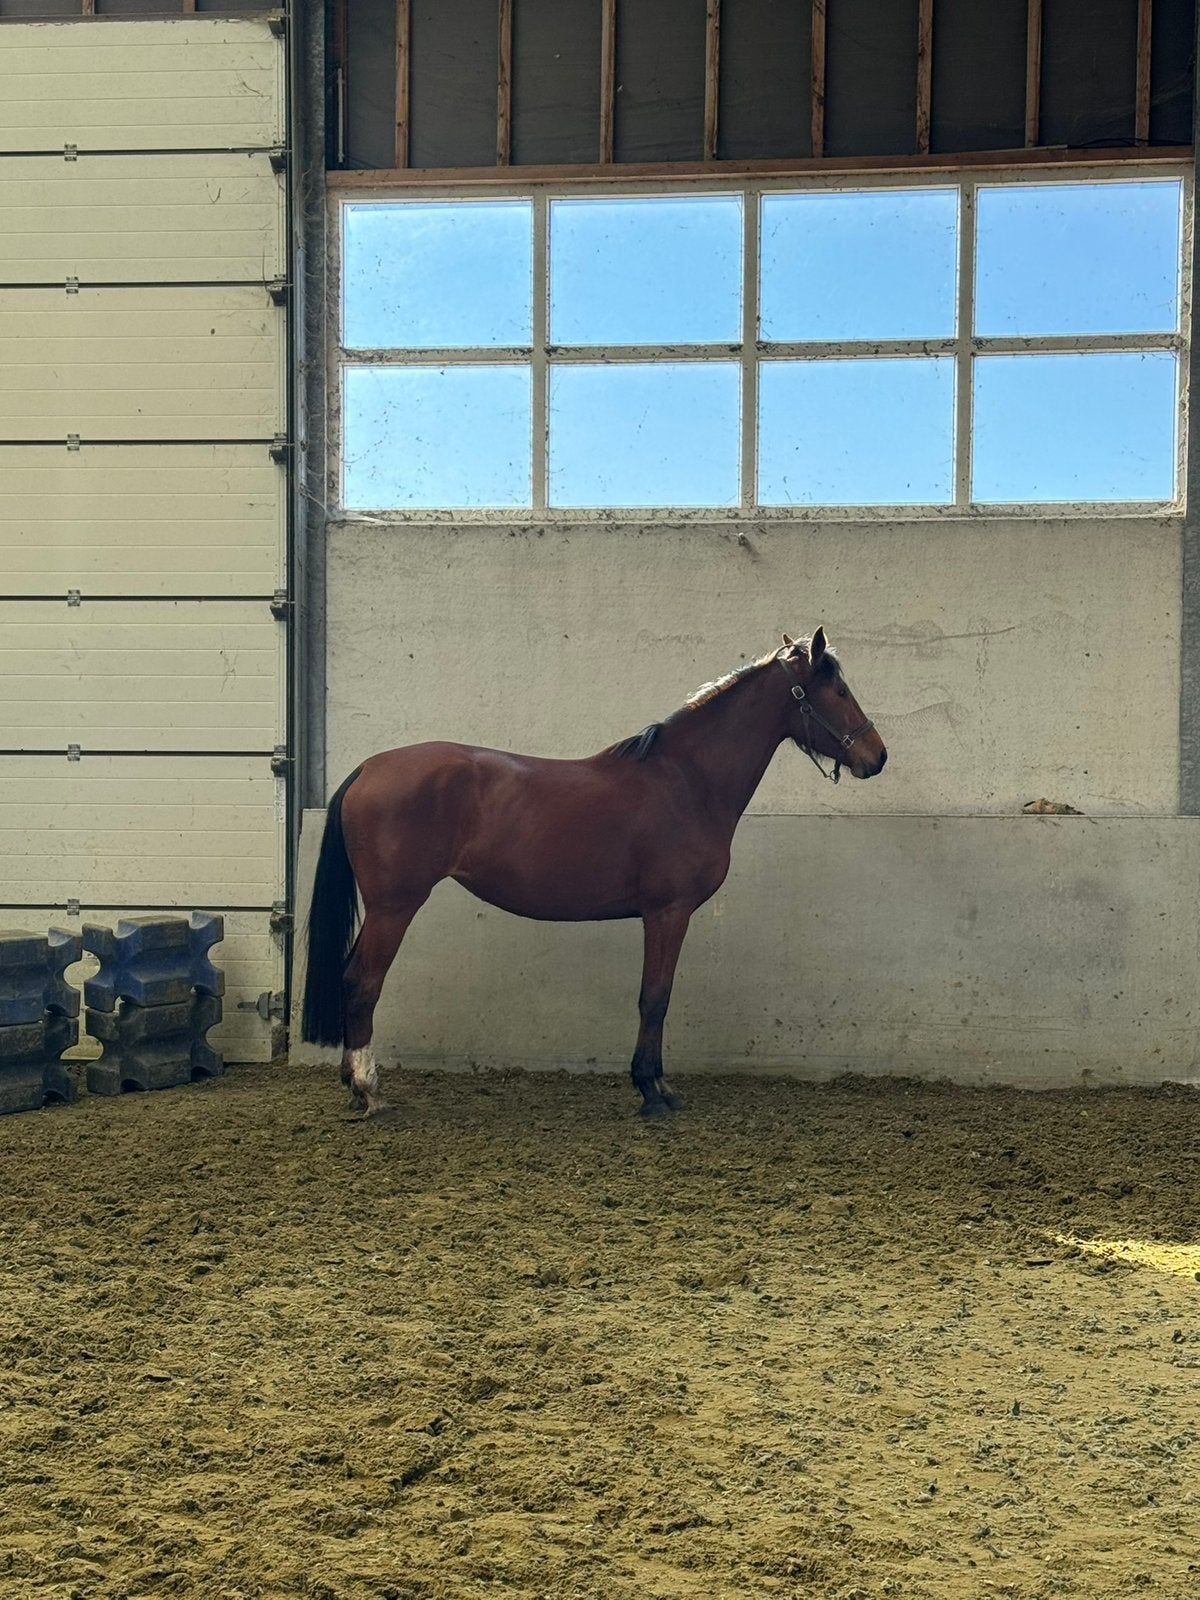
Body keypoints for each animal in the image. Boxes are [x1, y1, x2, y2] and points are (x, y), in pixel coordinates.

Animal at [300, 628, 887, 1117]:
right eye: (838, 691)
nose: (876, 757)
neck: (686, 780)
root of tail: (369, 768)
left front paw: (657, 1085)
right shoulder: (668, 913)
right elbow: (655, 998)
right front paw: (652, 1091)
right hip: (395, 907)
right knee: (363, 982)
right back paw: (369, 1091)